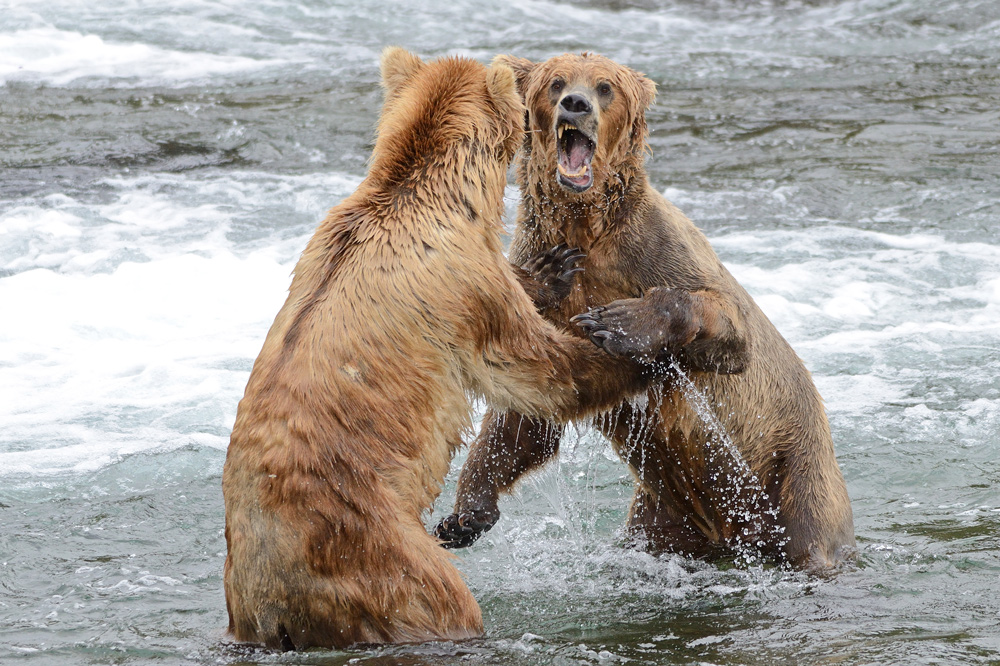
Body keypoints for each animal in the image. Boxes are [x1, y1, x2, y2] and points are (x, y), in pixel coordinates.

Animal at [434, 53, 856, 572]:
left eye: (605, 87)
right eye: (556, 82)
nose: (575, 104)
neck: (585, 226)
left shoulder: (655, 250)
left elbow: (728, 326)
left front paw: (617, 323)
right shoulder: (538, 290)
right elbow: (527, 415)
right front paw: (464, 514)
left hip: (794, 475)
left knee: (809, 528)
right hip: (662, 517)